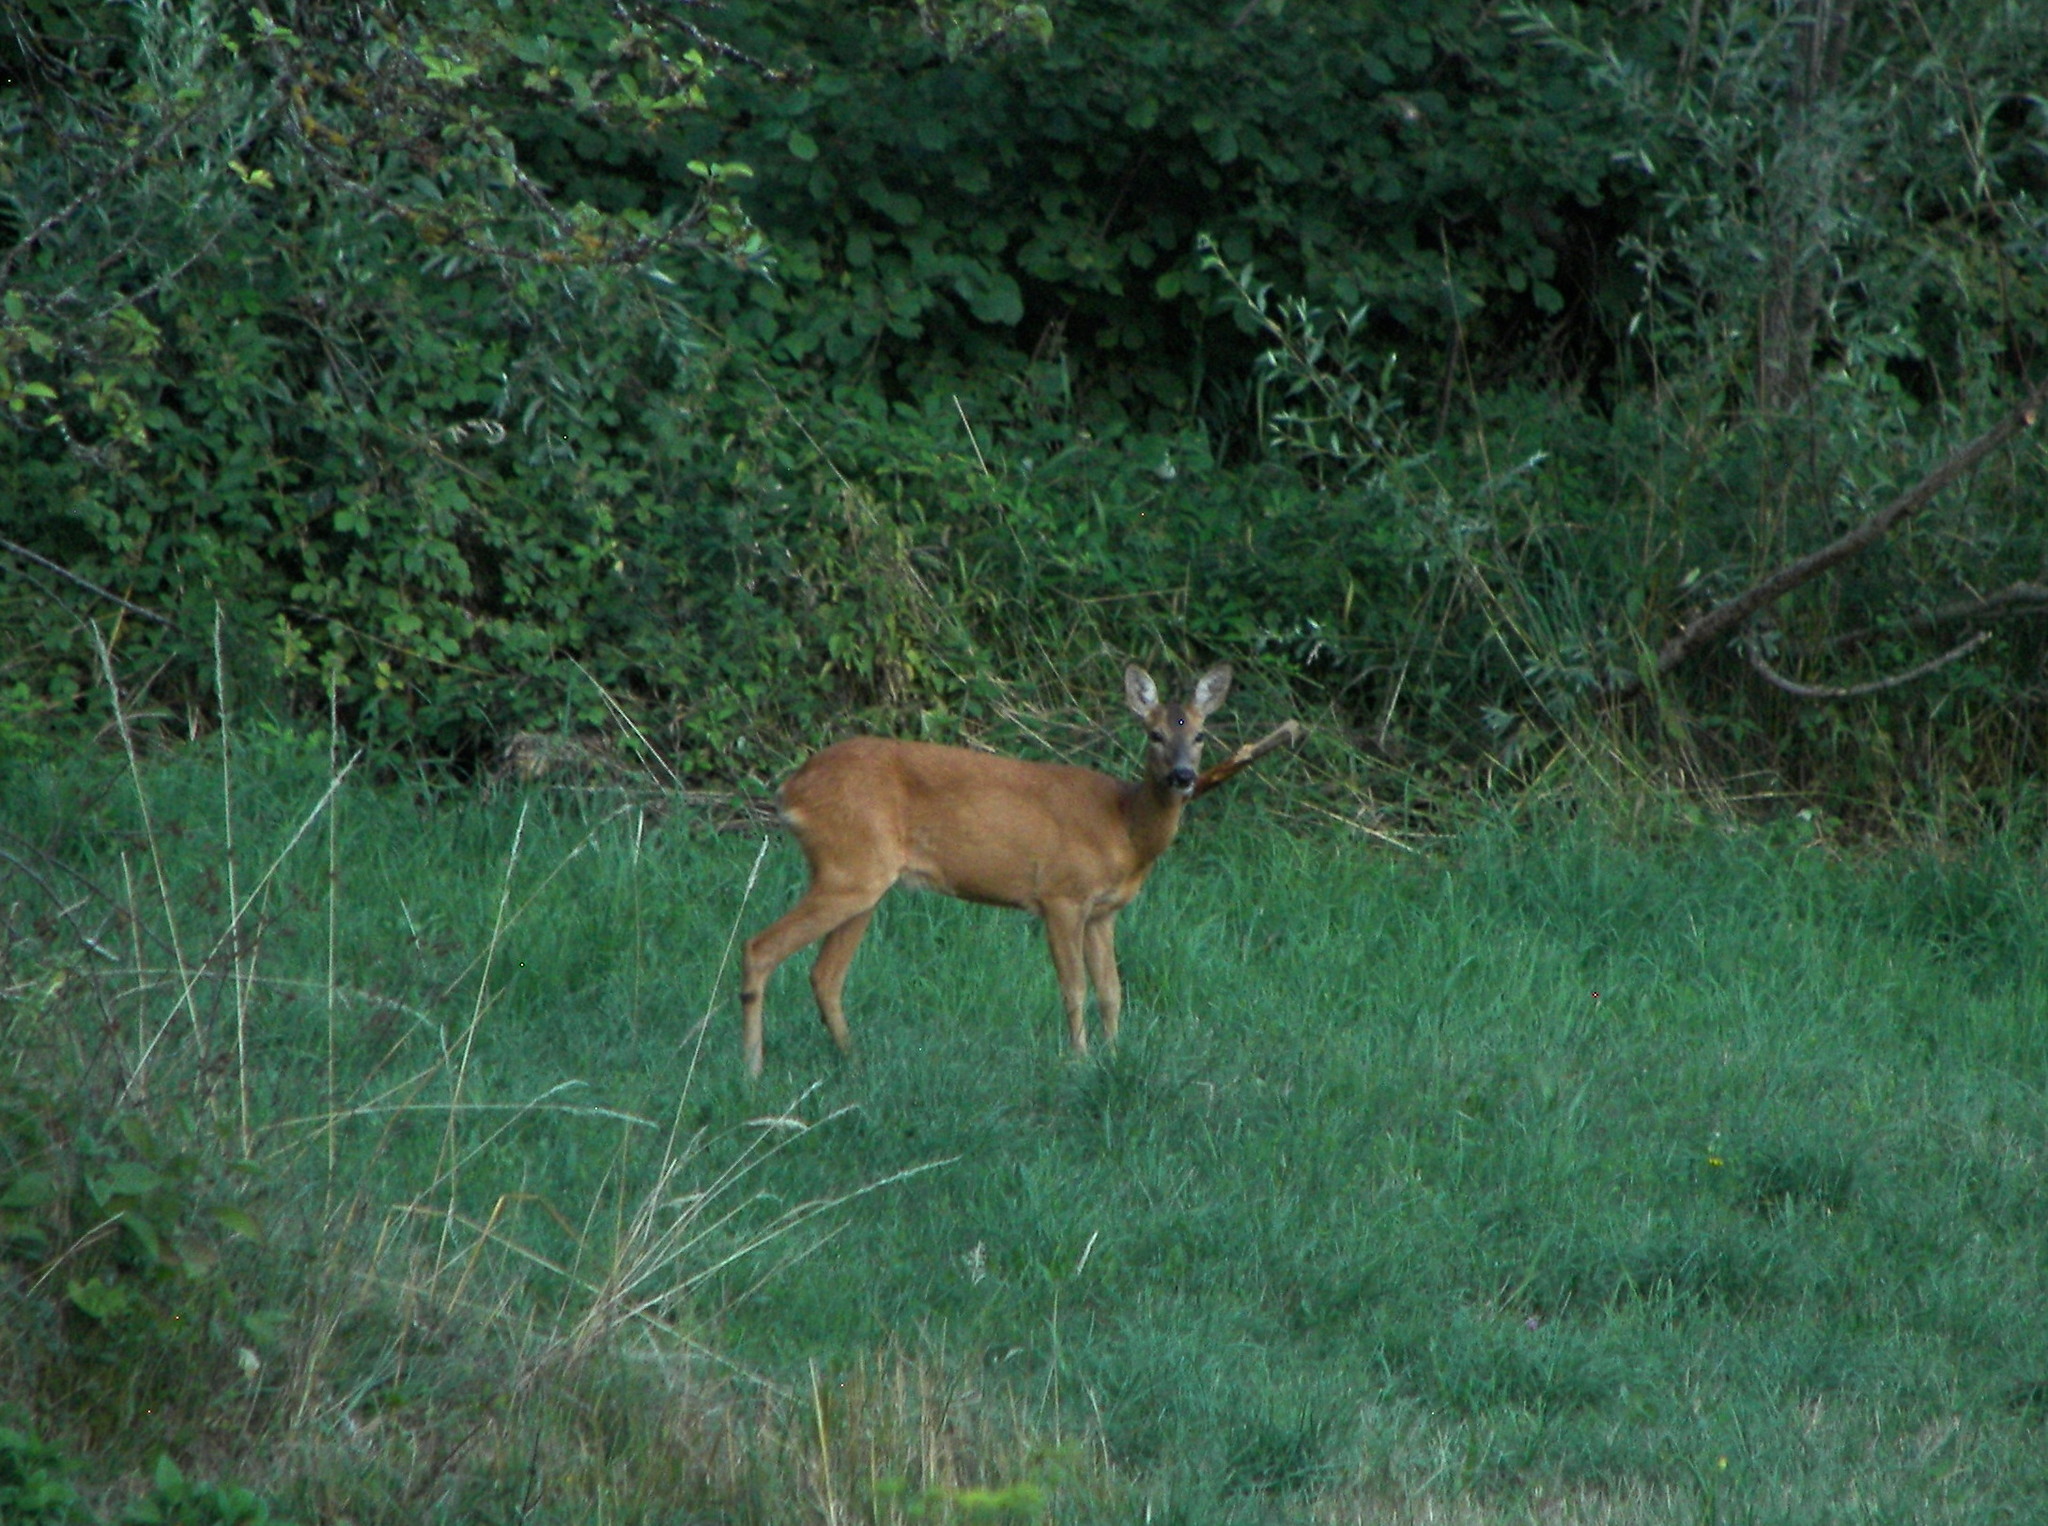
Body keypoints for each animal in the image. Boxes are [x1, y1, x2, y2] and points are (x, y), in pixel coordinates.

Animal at [749, 663, 1236, 1073]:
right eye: (1153, 734)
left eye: (1199, 736)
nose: (1182, 777)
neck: (1124, 827)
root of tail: (790, 790)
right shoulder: (1061, 894)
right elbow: (1074, 987)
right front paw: (1079, 1060)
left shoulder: (1104, 912)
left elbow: (1111, 992)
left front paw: (1114, 1056)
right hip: (848, 867)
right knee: (760, 948)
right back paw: (753, 1070)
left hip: (862, 879)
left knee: (825, 975)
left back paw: (853, 1059)